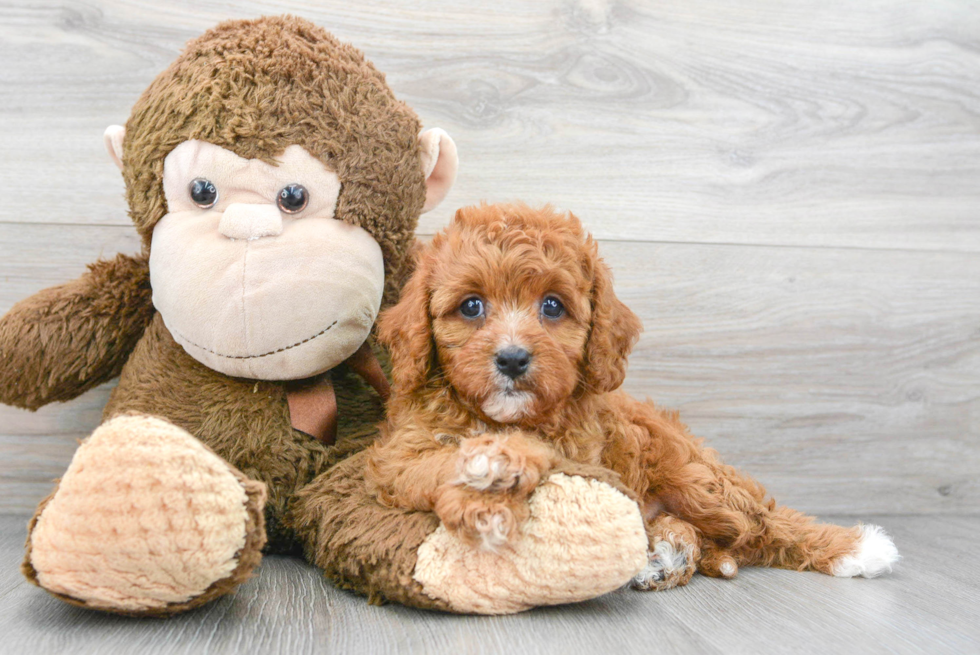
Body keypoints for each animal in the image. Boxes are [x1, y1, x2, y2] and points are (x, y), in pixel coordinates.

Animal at [366, 204, 896, 588]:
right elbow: (432, 462)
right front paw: (488, 486)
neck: (503, 418)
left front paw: (497, 474)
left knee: (763, 525)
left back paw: (856, 549)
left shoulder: (582, 458)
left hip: (699, 481)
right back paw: (666, 552)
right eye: (471, 306)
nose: (513, 359)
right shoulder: (395, 457)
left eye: (552, 306)